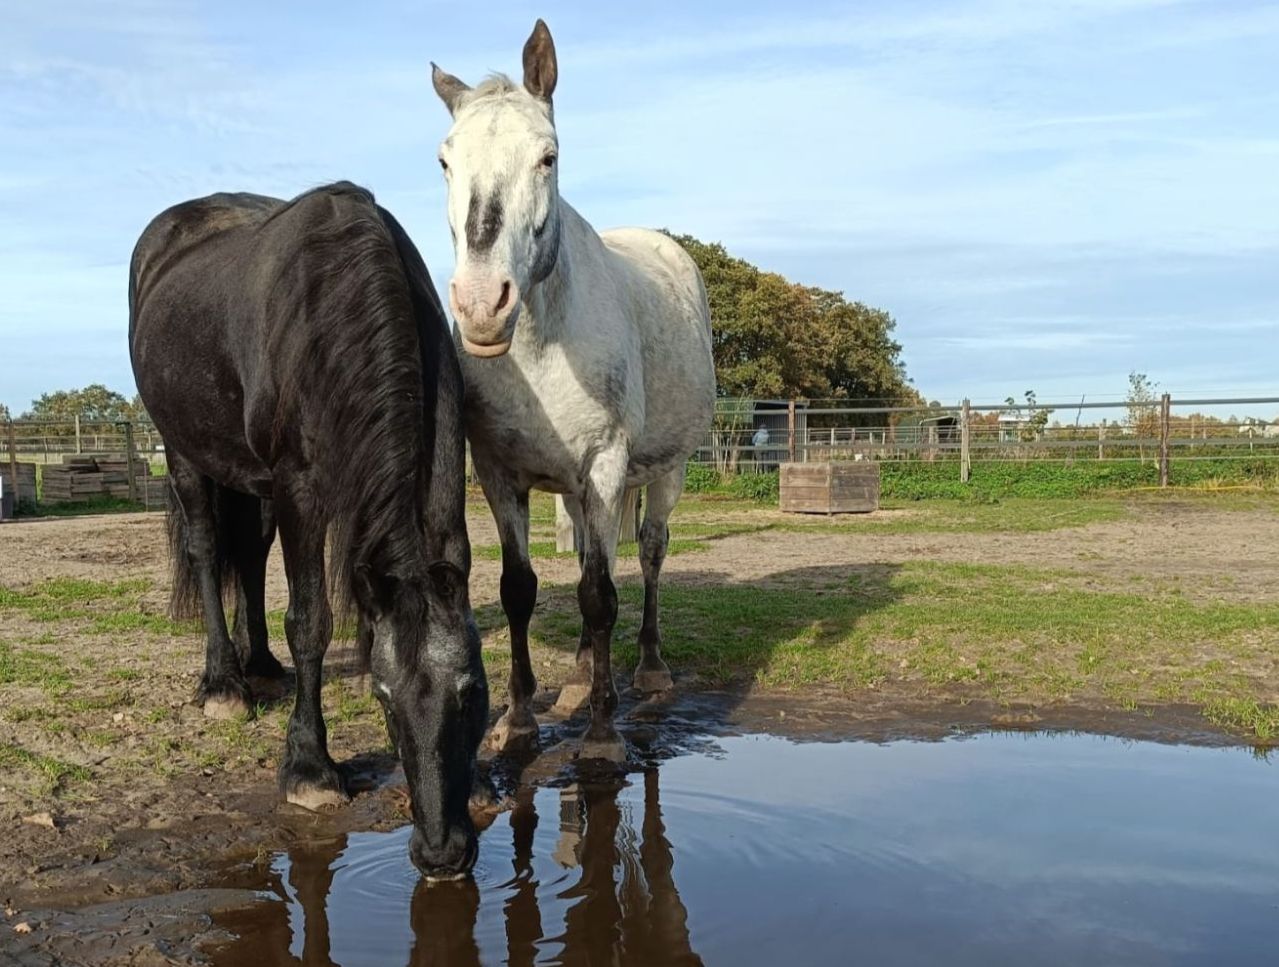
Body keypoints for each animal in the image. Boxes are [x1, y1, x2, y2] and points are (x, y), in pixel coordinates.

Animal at [128, 182, 488, 878]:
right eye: (382, 699)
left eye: (472, 692)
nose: (441, 853)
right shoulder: (300, 489)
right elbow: (311, 621)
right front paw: (309, 769)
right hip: (186, 456)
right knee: (209, 550)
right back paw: (225, 684)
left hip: (255, 483)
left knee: (249, 554)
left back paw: (261, 666)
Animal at [430, 20, 716, 761]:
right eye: (445, 161)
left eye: (547, 157)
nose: (481, 305)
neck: (537, 348)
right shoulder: (499, 472)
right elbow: (520, 589)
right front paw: (519, 720)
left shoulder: (607, 465)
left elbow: (600, 595)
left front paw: (601, 736)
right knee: (594, 559)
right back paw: (585, 676)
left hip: (664, 470)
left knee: (645, 555)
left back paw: (645, 669)